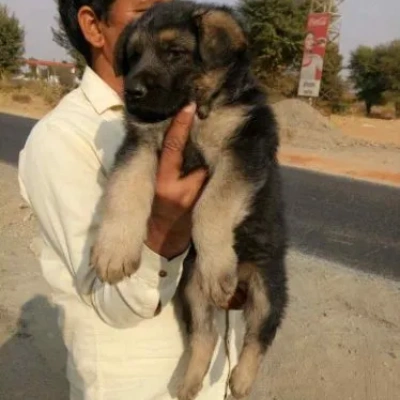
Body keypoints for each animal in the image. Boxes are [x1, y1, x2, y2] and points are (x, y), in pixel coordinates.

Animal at [90, 1, 288, 398]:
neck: (196, 110)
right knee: (205, 335)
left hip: (268, 286)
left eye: (175, 53)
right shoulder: (141, 145)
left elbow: (210, 207)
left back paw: (242, 378)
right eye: (134, 56)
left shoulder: (242, 150)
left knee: (259, 335)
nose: (131, 92)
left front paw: (217, 264)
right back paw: (190, 380)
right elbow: (125, 191)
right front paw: (114, 250)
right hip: (192, 291)